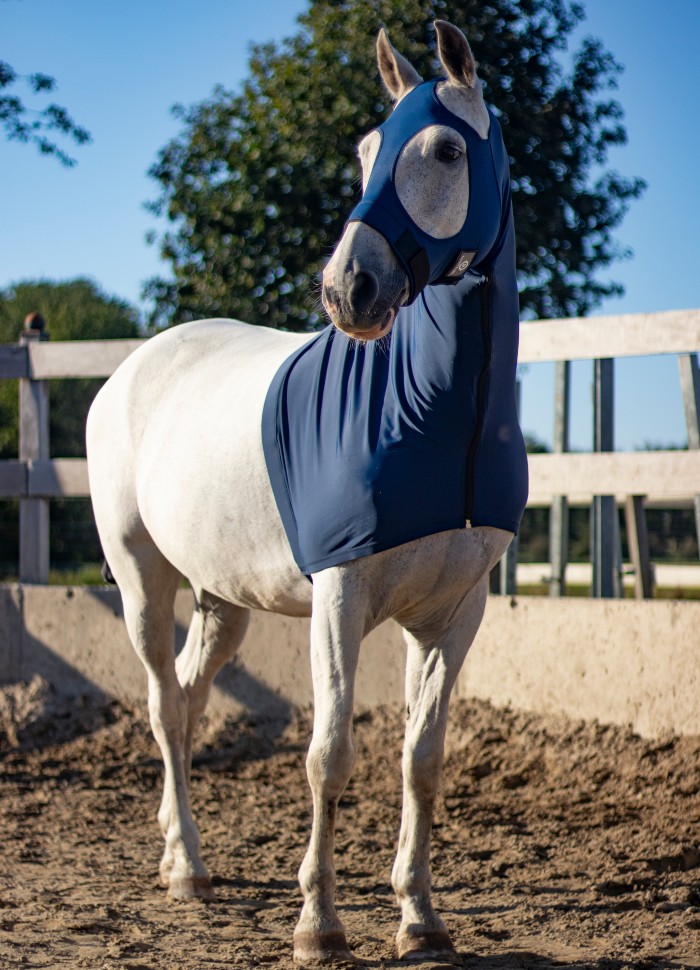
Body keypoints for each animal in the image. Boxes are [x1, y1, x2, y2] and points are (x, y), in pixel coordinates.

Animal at [86, 20, 527, 965]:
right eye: (365, 150)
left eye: (444, 148)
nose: (346, 289)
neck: (440, 417)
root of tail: (131, 368)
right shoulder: (340, 597)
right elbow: (329, 756)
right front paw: (318, 924)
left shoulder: (454, 614)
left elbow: (421, 761)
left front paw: (420, 919)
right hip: (142, 579)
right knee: (162, 705)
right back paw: (189, 870)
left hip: (223, 599)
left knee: (188, 697)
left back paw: (179, 854)